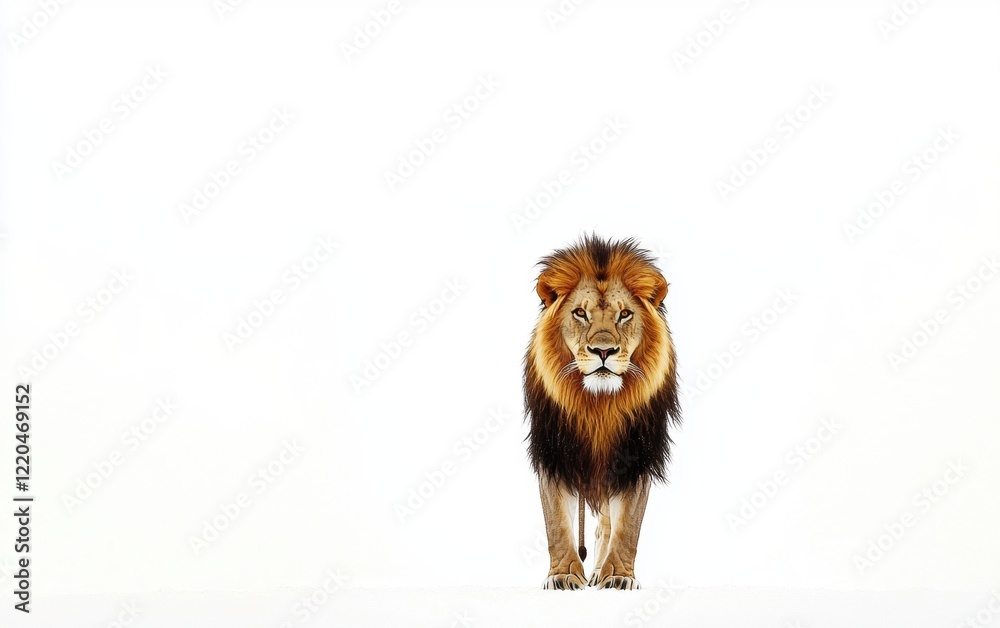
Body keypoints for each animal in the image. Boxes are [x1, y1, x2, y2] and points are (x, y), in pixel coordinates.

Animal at [523, 235, 680, 590]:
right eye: (581, 313)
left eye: (625, 314)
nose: (604, 351)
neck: (598, 405)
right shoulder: (554, 453)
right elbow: (556, 524)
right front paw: (563, 574)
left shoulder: (635, 456)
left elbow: (627, 528)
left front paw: (619, 576)